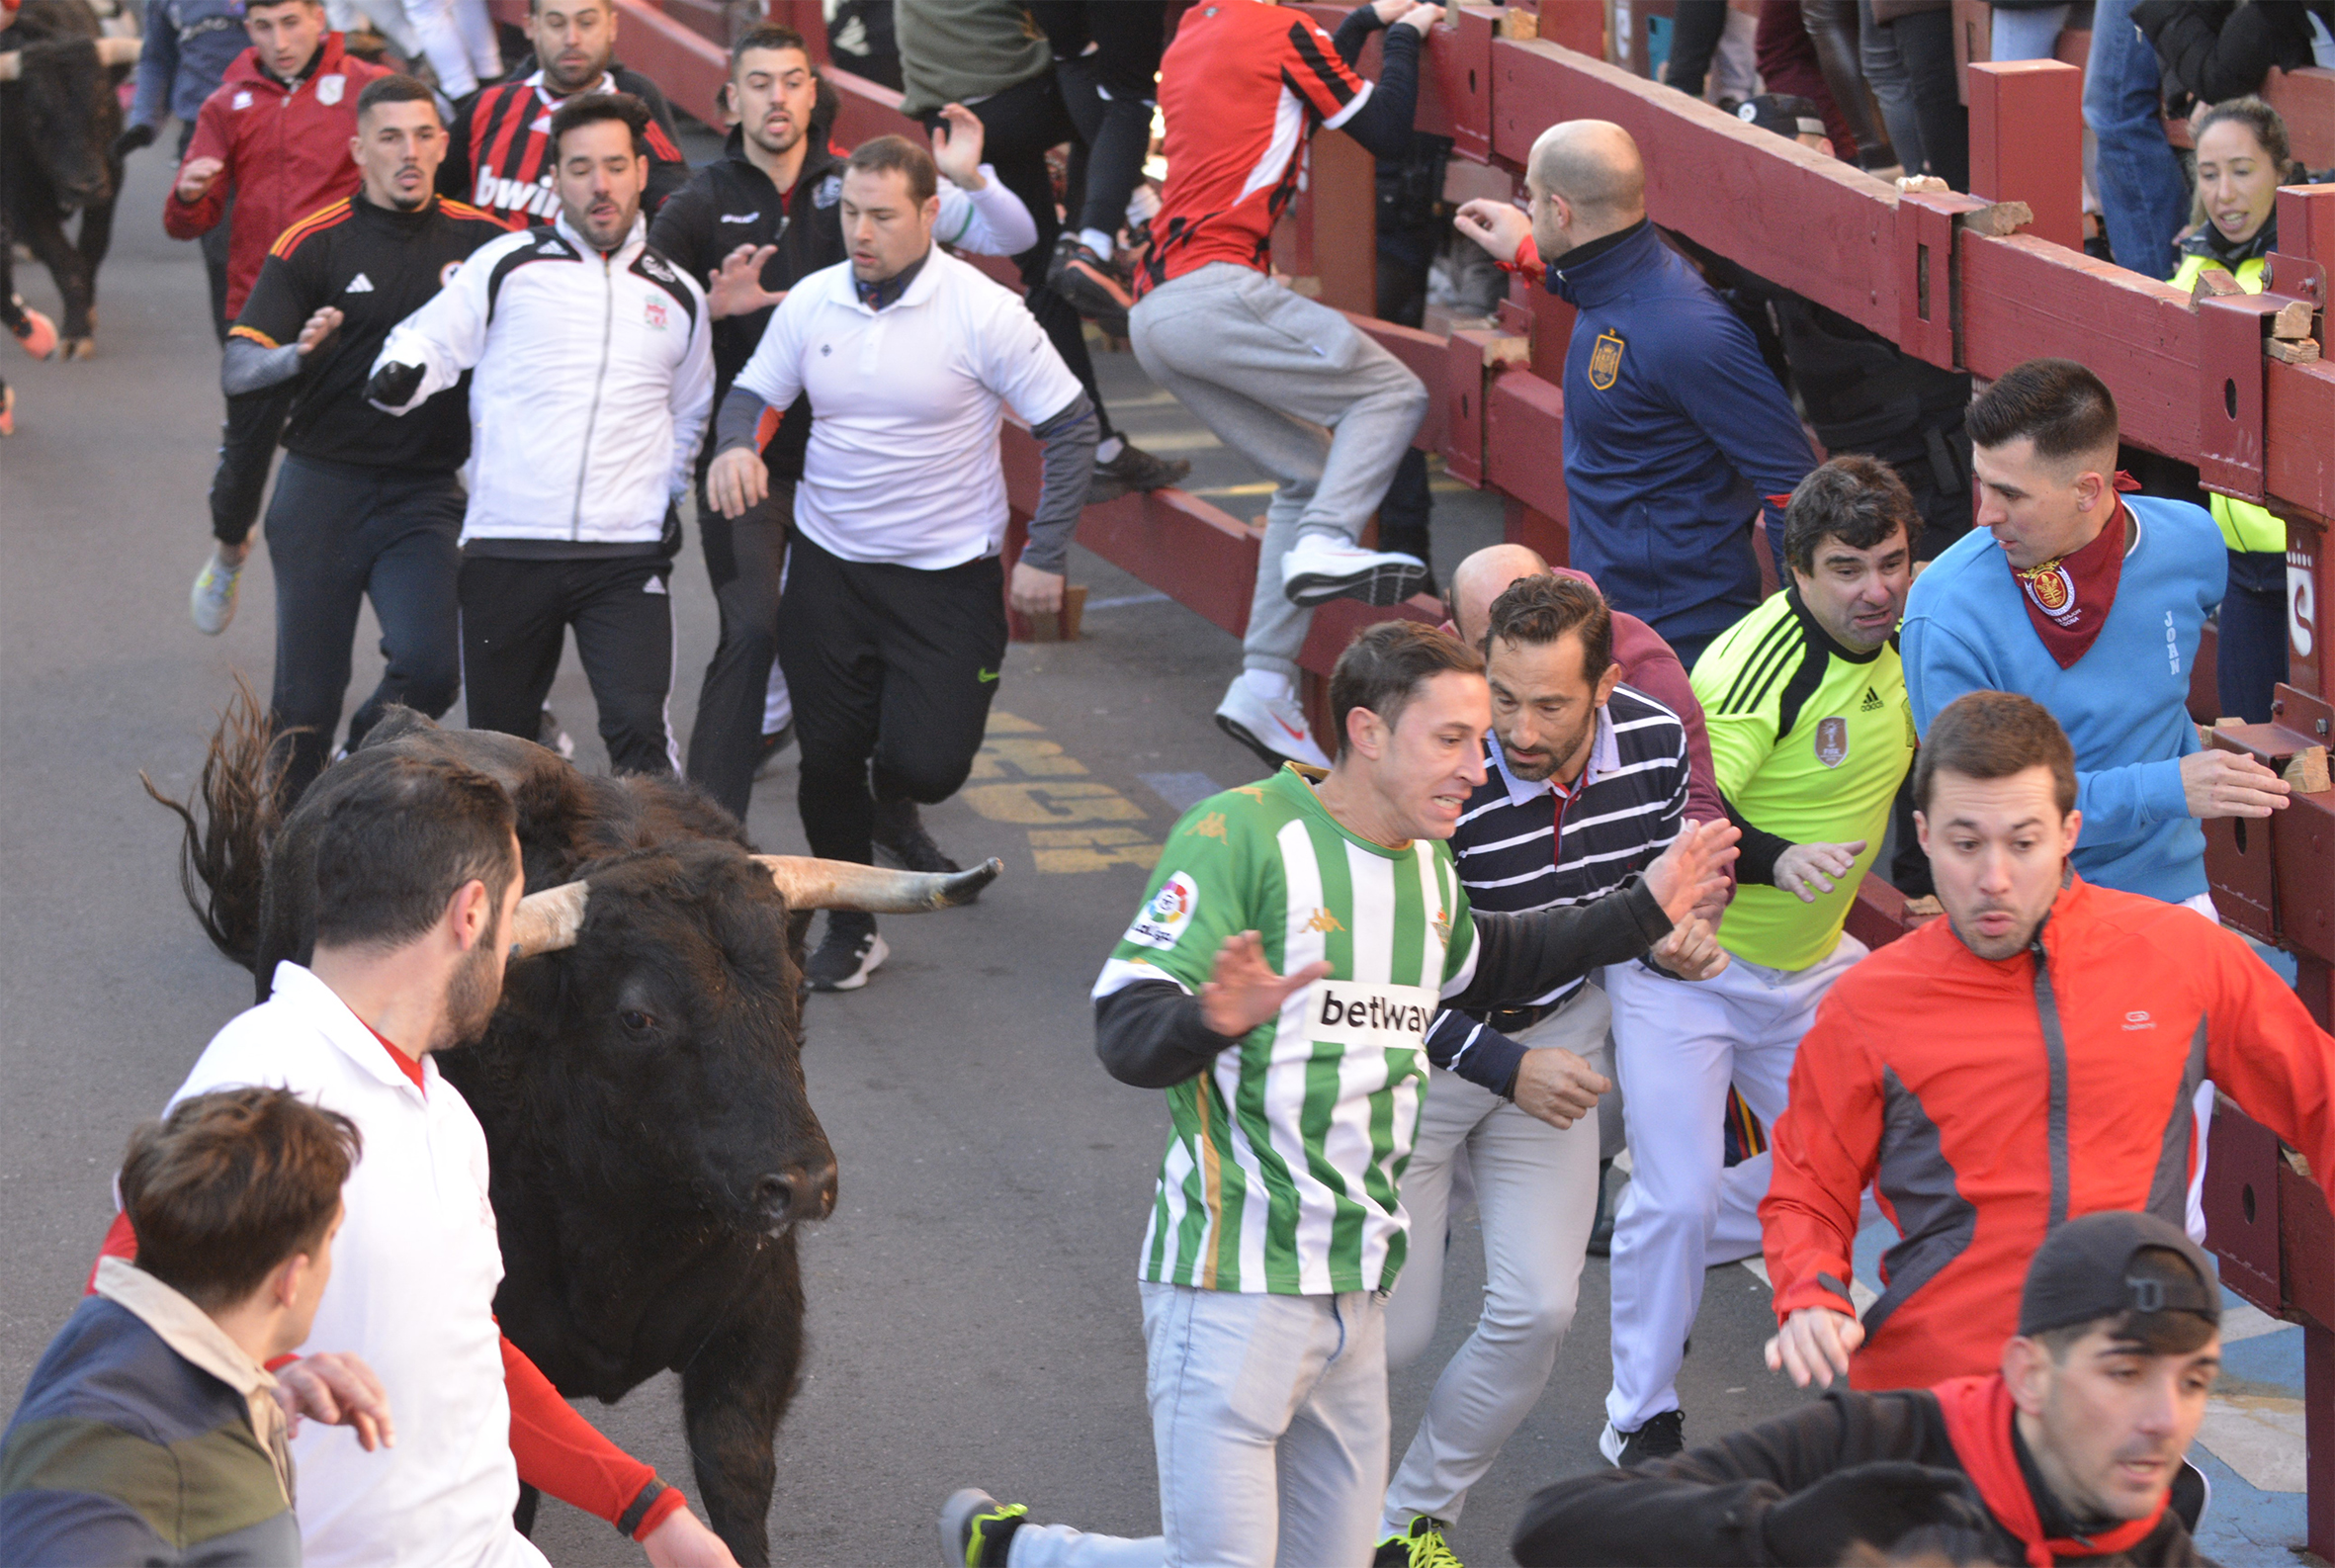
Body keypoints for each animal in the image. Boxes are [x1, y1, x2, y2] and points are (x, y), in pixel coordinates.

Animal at [152, 705, 995, 1560]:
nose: (802, 1184)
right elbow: (516, 1490)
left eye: (796, 990)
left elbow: (735, 1472)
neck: (629, 1221)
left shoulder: (759, 1326)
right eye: (639, 1016)